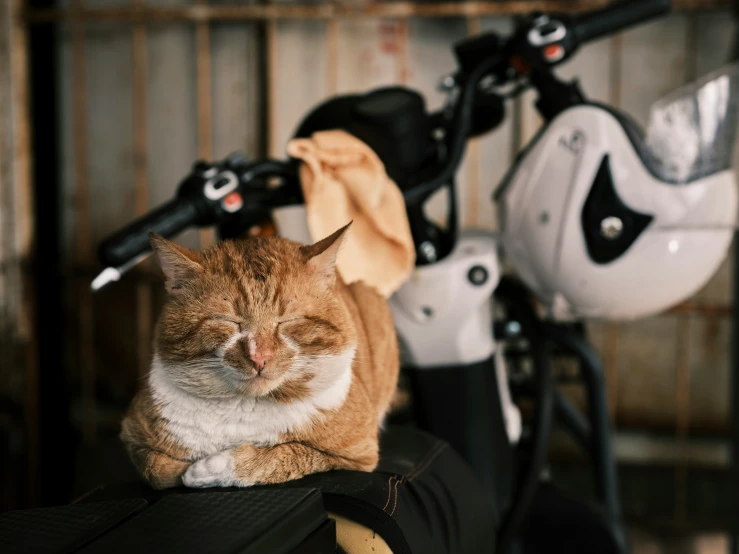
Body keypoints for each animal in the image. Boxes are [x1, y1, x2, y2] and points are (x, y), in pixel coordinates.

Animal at [123, 222, 398, 486]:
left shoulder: (358, 454)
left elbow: (289, 453)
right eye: (229, 321)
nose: (259, 357)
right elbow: (156, 468)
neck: (244, 407)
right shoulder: (132, 436)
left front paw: (212, 468)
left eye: (287, 321)